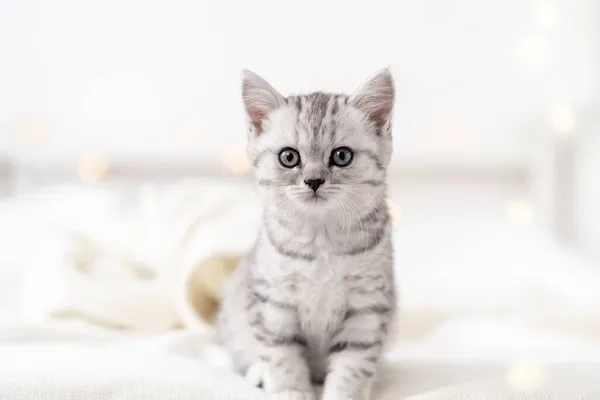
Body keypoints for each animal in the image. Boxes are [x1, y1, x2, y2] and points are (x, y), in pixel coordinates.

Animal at [217, 69, 398, 400]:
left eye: (342, 156)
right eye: (289, 157)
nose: (313, 181)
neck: (321, 238)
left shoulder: (366, 308)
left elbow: (353, 366)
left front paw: (345, 395)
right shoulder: (274, 305)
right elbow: (283, 357)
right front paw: (291, 391)